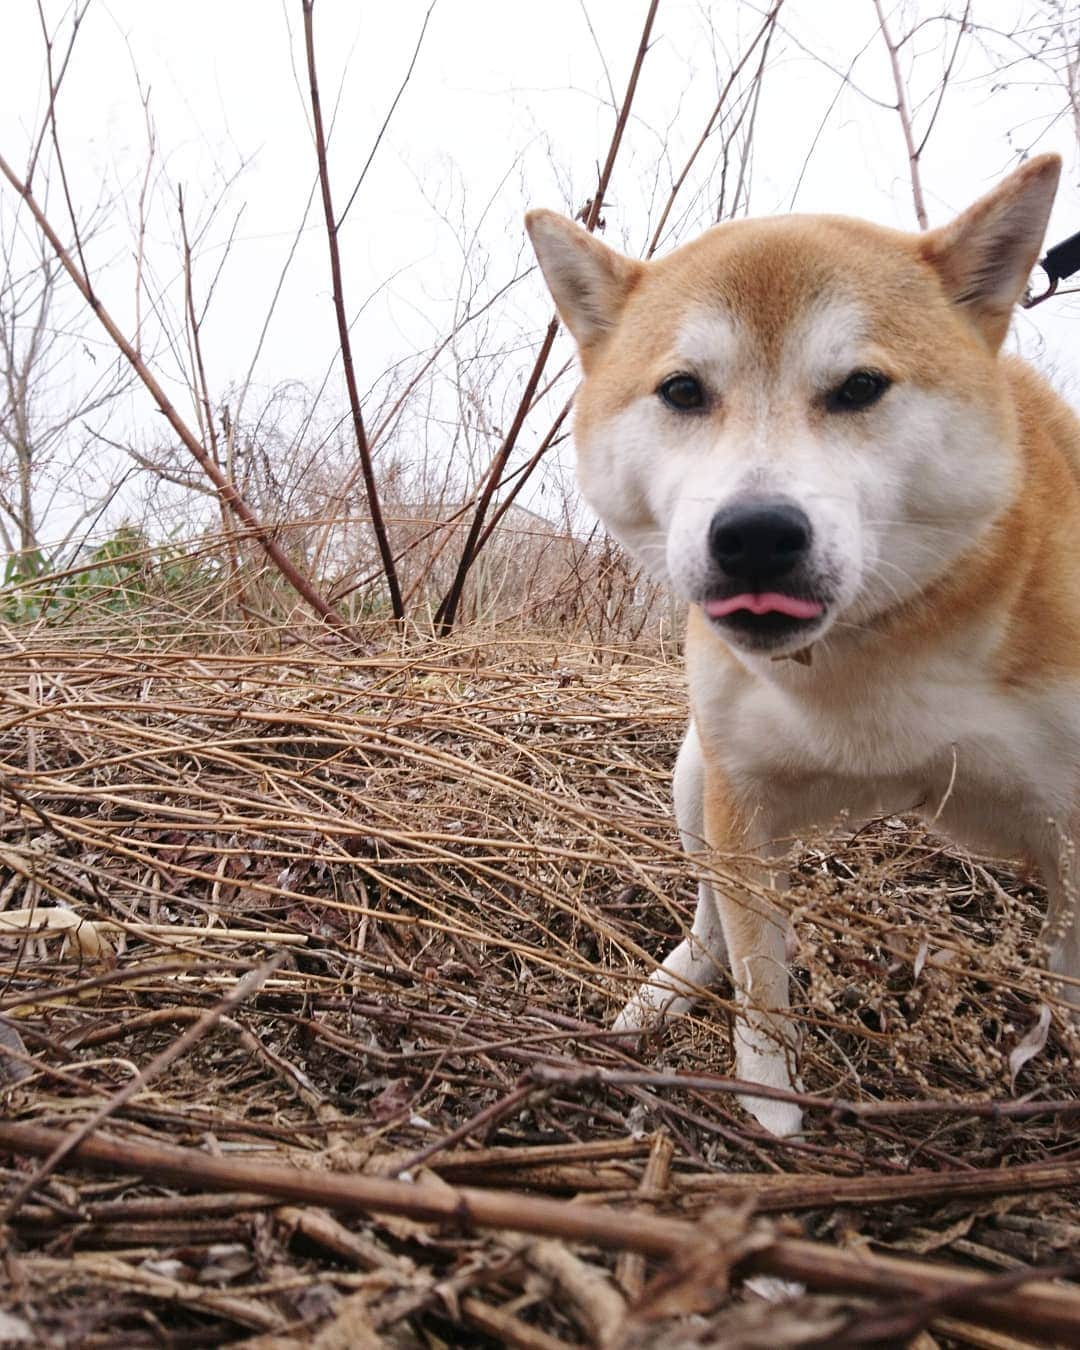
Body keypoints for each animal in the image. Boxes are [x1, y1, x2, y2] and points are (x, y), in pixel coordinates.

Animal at [526, 153, 1080, 1134]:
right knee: (712, 921)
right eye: (682, 391)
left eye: (859, 387)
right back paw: (662, 994)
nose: (754, 534)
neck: (876, 665)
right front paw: (768, 1108)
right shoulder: (742, 797)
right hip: (696, 776)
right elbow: (760, 980)